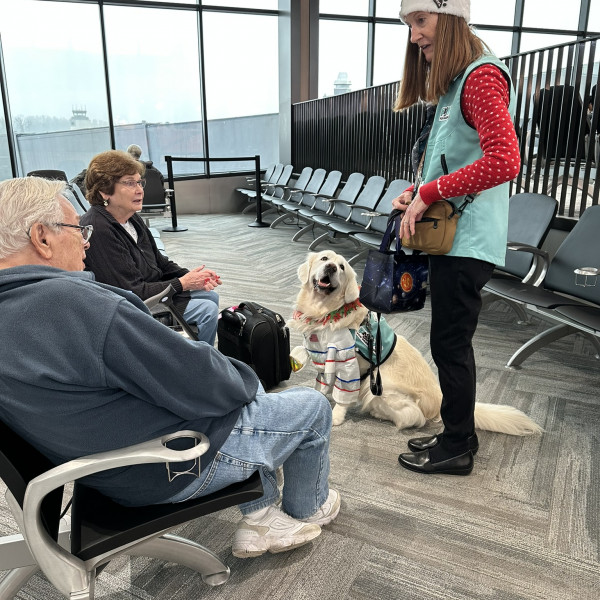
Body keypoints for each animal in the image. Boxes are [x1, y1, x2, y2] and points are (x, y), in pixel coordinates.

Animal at [288, 250, 542, 437]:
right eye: (324, 259)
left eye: (341, 267)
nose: (331, 268)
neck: (324, 311)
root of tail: (440, 398)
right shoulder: (323, 358)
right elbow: (322, 386)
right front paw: (315, 400)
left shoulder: (347, 365)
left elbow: (342, 397)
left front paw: (336, 417)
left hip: (381, 387)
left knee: (414, 418)